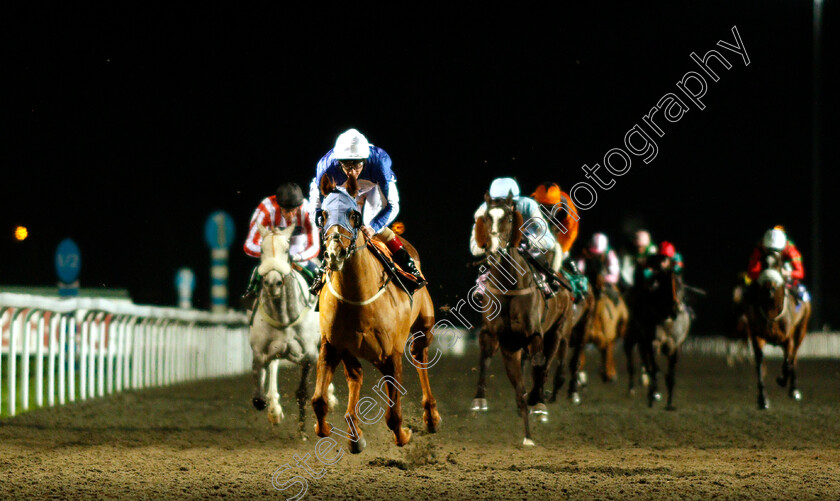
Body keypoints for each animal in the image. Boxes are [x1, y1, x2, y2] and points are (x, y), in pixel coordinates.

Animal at [246, 225, 334, 436]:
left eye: (286, 250)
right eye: (261, 250)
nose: (273, 282)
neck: (283, 317)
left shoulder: (309, 353)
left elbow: (303, 389)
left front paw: (303, 430)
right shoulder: (260, 351)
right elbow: (258, 396)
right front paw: (273, 410)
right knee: (273, 366)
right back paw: (274, 409)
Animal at [308, 177, 440, 454]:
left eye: (354, 215)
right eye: (323, 214)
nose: (334, 253)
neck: (358, 299)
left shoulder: (392, 355)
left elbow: (393, 415)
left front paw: (404, 435)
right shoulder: (332, 346)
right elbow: (318, 400)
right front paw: (329, 429)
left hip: (423, 329)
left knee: (420, 357)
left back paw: (431, 417)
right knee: (355, 377)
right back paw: (354, 434)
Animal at [470, 192, 588, 446]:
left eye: (509, 218)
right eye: (486, 218)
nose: (495, 250)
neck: (509, 286)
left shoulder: (535, 335)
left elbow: (539, 365)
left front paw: (536, 401)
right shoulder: (495, 335)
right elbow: (486, 358)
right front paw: (479, 400)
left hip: (559, 331)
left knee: (549, 363)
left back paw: (541, 399)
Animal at [624, 264, 688, 408]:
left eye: (680, 284)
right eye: (667, 286)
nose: (675, 309)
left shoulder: (674, 346)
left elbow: (670, 375)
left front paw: (669, 403)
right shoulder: (652, 342)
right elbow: (654, 369)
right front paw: (653, 395)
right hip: (631, 337)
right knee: (632, 360)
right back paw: (633, 389)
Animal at [744, 252, 812, 408]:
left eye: (778, 264)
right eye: (763, 263)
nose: (769, 287)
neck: (771, 311)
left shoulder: (788, 338)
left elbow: (788, 361)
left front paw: (781, 380)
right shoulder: (757, 335)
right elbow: (760, 362)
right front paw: (763, 398)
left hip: (801, 329)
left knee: (794, 357)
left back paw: (794, 389)